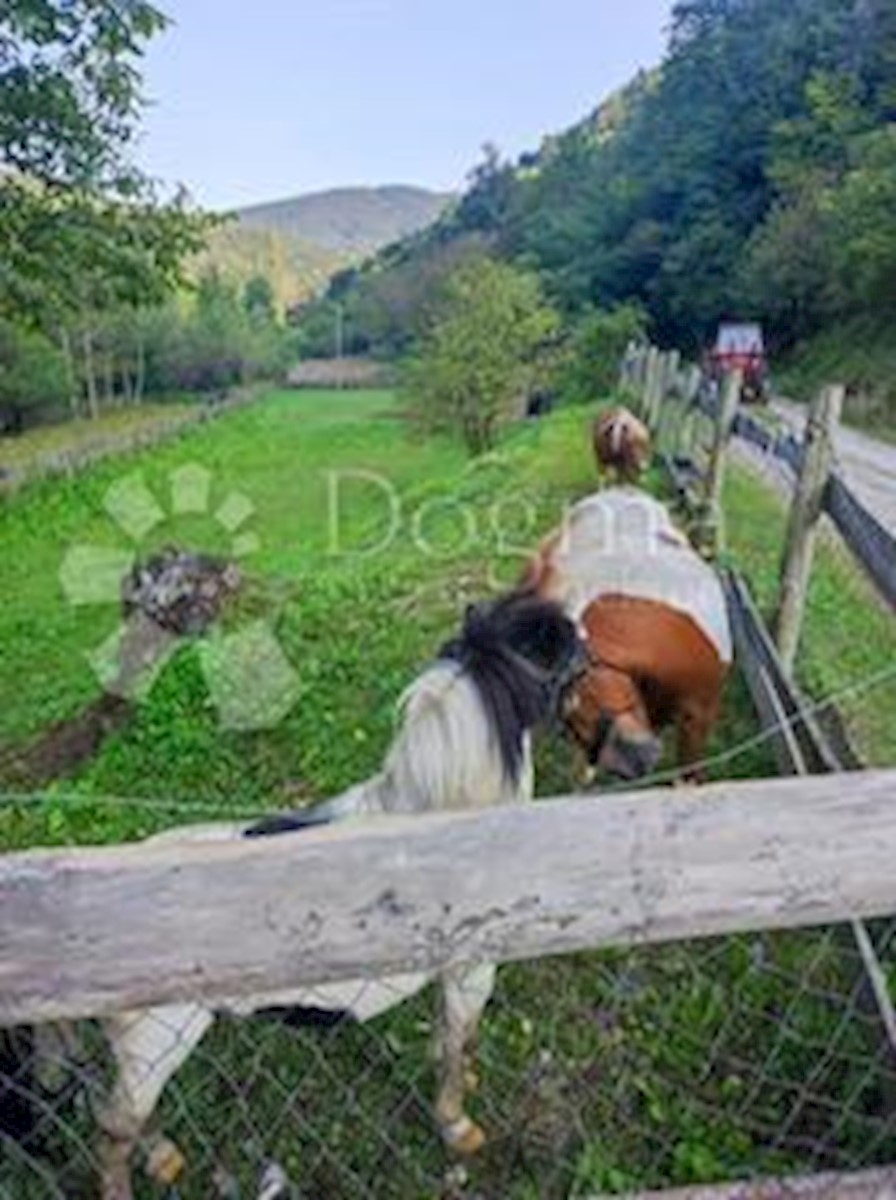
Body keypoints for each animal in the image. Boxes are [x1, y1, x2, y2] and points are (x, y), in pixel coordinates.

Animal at [87, 590, 585, 1200]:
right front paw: (458, 1127)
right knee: (113, 1128)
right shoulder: (472, 969)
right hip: (154, 1046)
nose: (591, 647)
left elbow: (451, 1039)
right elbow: (456, 1042)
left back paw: (164, 1160)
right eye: (556, 644)